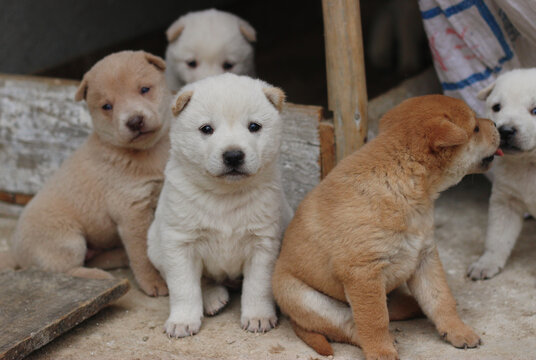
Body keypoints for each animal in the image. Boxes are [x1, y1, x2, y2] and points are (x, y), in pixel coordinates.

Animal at [2, 51, 170, 298]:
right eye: (107, 106)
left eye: (144, 89)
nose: (134, 121)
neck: (149, 152)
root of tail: (14, 252)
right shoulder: (132, 210)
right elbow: (142, 253)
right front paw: (154, 282)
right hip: (68, 240)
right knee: (61, 269)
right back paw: (100, 277)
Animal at [148, 72, 294, 338]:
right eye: (207, 129)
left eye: (254, 126)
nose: (233, 155)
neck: (225, 194)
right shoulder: (179, 243)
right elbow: (184, 287)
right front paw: (183, 321)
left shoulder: (263, 243)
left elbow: (258, 286)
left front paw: (258, 317)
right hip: (155, 246)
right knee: (202, 280)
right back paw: (212, 298)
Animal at [274, 95, 500, 360]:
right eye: (475, 128)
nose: (496, 124)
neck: (403, 182)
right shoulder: (363, 273)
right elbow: (374, 321)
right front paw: (381, 352)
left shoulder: (425, 257)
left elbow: (441, 299)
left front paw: (457, 330)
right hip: (307, 300)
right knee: (350, 326)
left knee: (394, 307)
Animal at [466, 69, 536, 280]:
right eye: (497, 107)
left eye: (535, 110)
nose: (505, 130)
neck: (529, 164)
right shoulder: (505, 201)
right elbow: (497, 237)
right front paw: (486, 263)